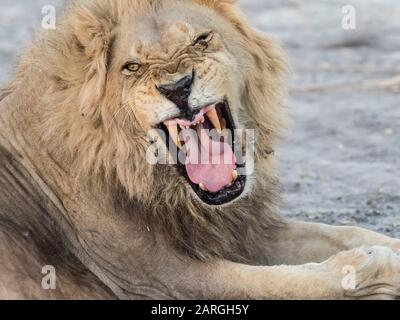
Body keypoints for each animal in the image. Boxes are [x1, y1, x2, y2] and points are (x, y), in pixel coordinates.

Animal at [0, 0, 400, 300]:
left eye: (201, 40)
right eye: (132, 67)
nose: (177, 87)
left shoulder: (243, 233)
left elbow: (346, 233)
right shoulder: (154, 279)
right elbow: (277, 284)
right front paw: (379, 272)